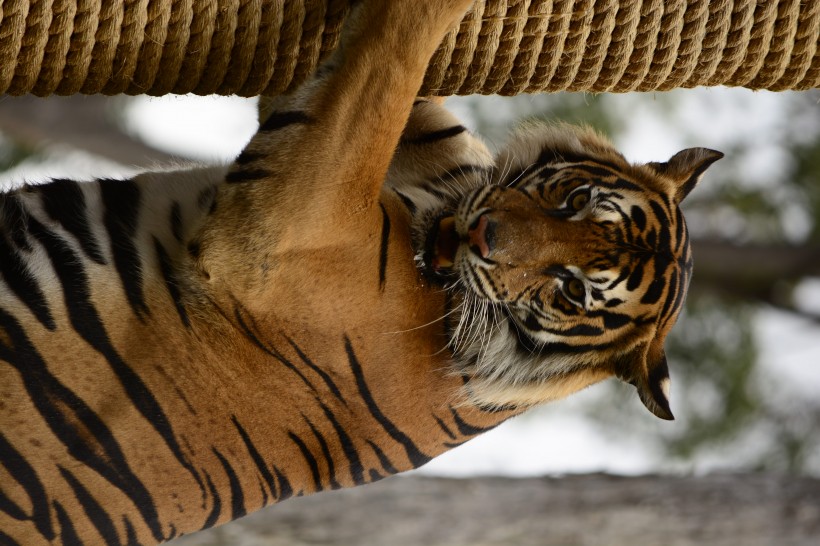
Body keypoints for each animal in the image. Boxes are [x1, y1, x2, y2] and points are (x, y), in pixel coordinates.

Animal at [0, 1, 720, 544]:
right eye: (574, 200)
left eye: (571, 291)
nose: (485, 236)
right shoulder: (442, 163)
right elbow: (403, 88)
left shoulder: (282, 231)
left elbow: (388, 67)